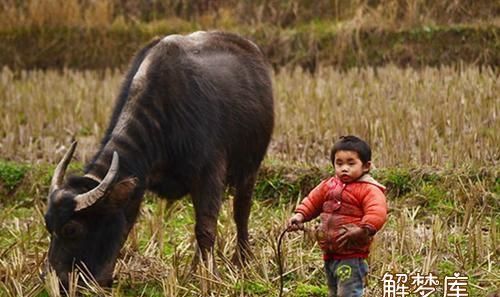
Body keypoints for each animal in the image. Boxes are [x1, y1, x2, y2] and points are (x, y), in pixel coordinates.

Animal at [44, 31, 274, 286]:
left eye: (72, 230)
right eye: (48, 225)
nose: (56, 279)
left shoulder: (209, 175)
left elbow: (206, 228)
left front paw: (211, 277)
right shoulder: (140, 182)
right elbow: (131, 224)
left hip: (250, 167)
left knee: (241, 211)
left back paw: (242, 259)